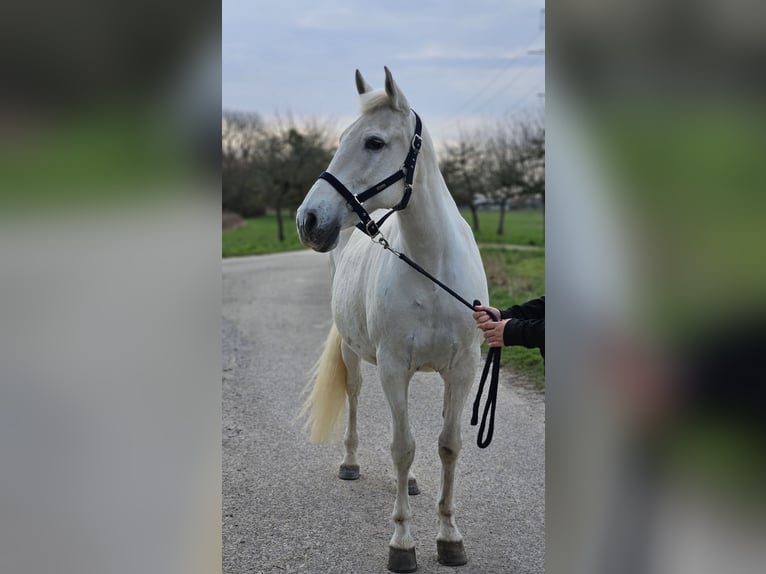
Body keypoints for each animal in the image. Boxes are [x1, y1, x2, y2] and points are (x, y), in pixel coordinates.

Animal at [296, 67, 489, 573]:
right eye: (342, 138)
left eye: (374, 142)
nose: (309, 220)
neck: (432, 267)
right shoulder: (392, 365)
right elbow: (402, 447)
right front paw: (402, 543)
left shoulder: (462, 370)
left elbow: (447, 445)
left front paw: (449, 537)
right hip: (359, 357)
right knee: (357, 399)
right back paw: (350, 463)